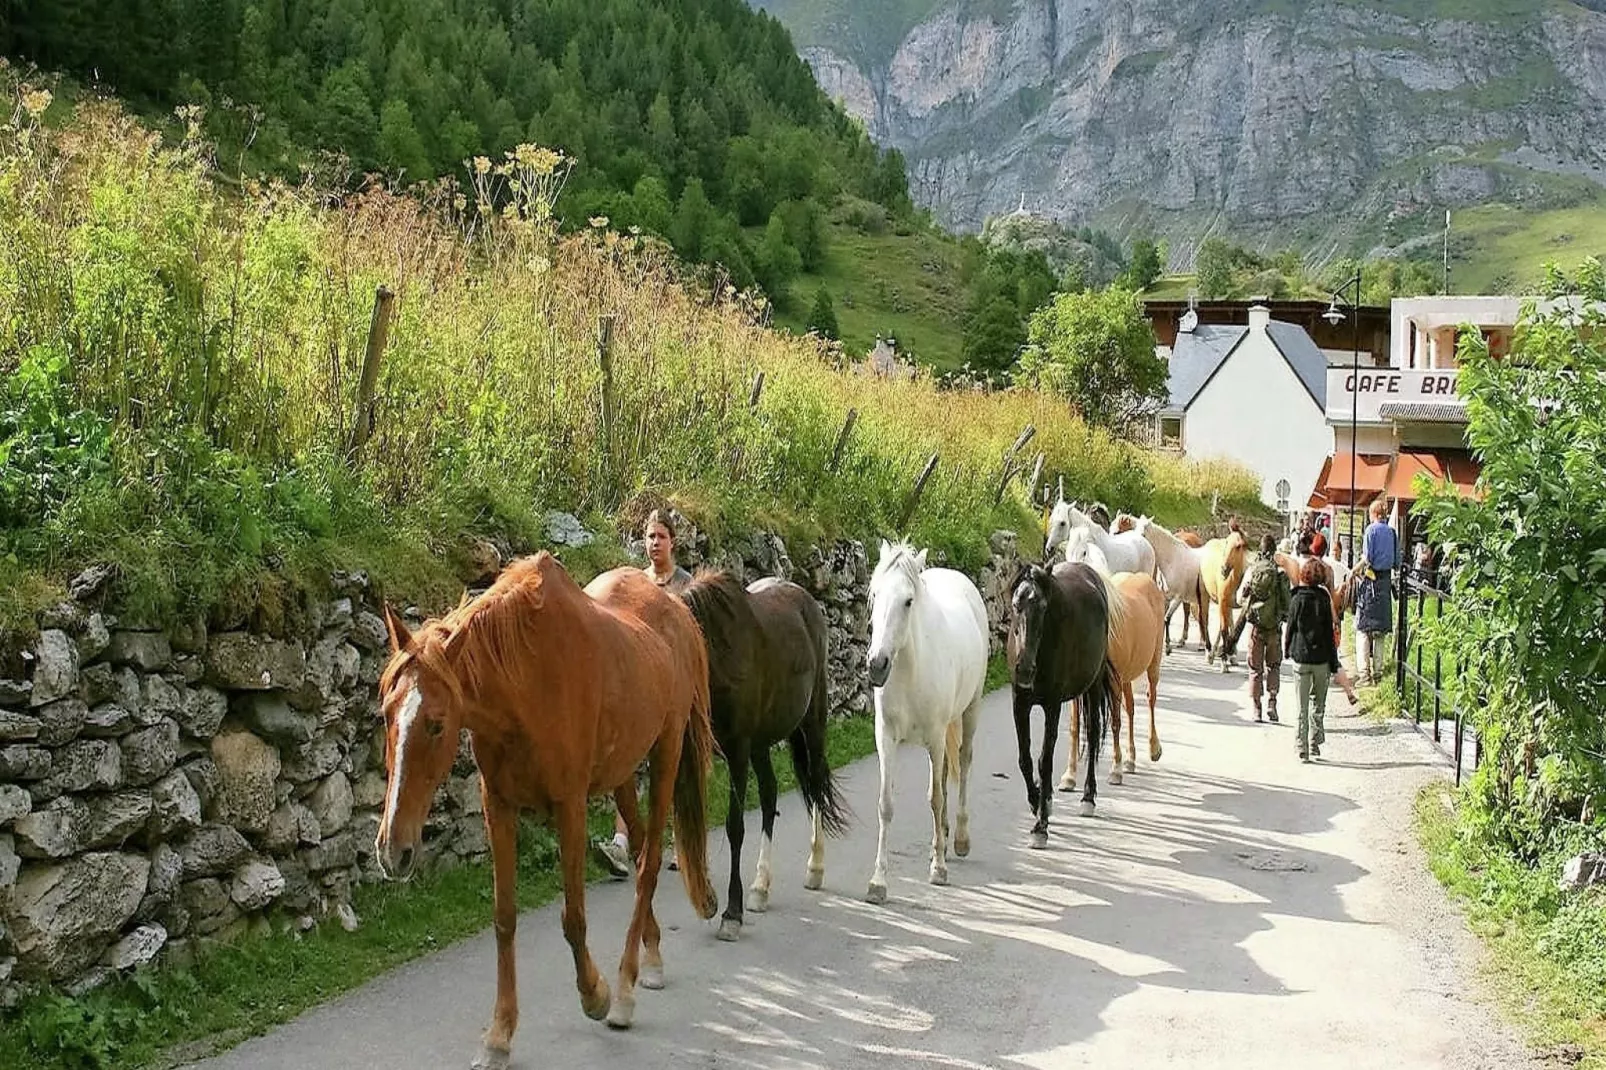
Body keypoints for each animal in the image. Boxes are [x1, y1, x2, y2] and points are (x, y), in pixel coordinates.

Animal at [375, 549, 716, 1066]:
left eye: (436, 724)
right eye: (386, 714)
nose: (394, 851)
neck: (525, 685)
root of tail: (677, 612)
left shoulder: (569, 805)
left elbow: (573, 917)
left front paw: (595, 995)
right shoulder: (497, 806)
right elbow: (504, 918)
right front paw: (499, 1035)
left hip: (666, 755)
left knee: (651, 862)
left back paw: (625, 989)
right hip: (621, 775)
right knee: (640, 850)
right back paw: (652, 958)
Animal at [677, 571, 854, 938]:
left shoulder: (738, 751)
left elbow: (735, 827)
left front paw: (731, 912)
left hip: (812, 722)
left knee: (815, 782)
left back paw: (815, 867)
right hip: (761, 743)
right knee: (771, 793)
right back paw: (760, 886)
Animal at [867, 533, 989, 899]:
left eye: (908, 601)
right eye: (875, 594)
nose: (876, 665)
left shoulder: (934, 738)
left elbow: (934, 798)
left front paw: (939, 868)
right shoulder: (886, 738)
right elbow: (886, 804)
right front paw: (878, 881)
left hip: (970, 709)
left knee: (962, 761)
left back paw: (959, 839)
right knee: (947, 770)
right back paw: (945, 837)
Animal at [1002, 552, 1117, 848]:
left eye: (1043, 607)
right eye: (1016, 604)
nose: (1024, 669)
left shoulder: (1052, 705)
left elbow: (1045, 760)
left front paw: (1040, 826)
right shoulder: (1019, 703)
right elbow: (1025, 759)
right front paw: (1037, 802)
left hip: (1093, 686)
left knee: (1093, 732)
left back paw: (1088, 798)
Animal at [1066, 523, 1169, 784]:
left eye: (1084, 552)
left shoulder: (1112, 682)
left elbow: (1114, 722)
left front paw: (1115, 769)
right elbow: (1074, 727)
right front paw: (1069, 776)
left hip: (1152, 664)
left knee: (1150, 699)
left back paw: (1153, 749)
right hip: (1126, 678)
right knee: (1131, 708)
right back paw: (1131, 759)